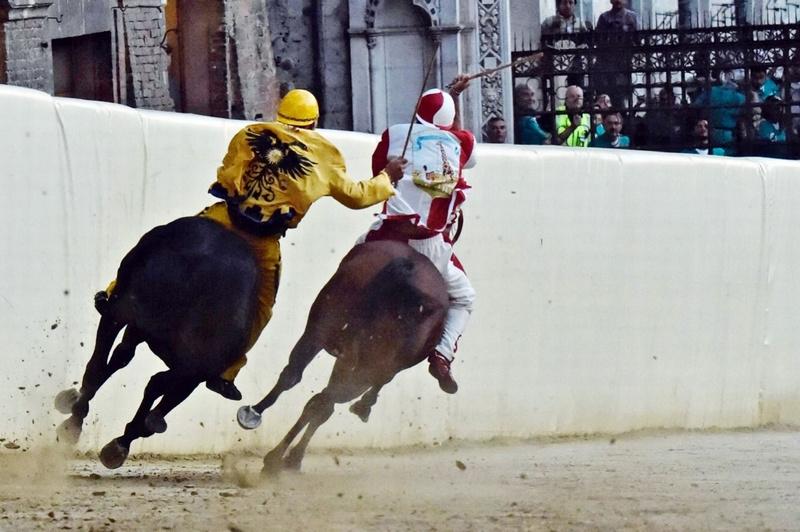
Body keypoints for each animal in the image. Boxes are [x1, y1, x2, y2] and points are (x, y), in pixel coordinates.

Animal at [54, 215, 260, 466]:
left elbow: (125, 363)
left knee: (112, 364)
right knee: (123, 370)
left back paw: (79, 419)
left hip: (127, 316)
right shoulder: (192, 368)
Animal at [238, 239, 450, 472]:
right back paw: (278, 458)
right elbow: (327, 402)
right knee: (325, 400)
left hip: (319, 332)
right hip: (366, 366)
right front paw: (292, 458)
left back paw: (256, 416)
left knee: (294, 377)